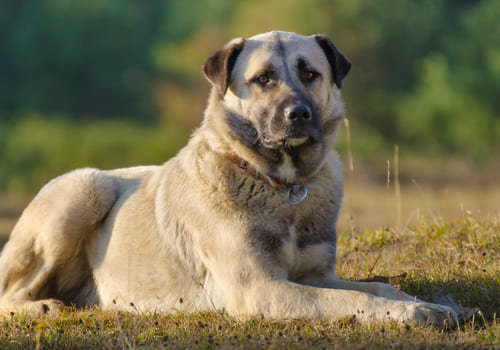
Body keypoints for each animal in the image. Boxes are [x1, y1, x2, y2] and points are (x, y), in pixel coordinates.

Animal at [0, 30, 460, 326]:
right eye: (264, 79)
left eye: (310, 73)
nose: (298, 114)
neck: (281, 185)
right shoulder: (261, 288)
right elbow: (348, 301)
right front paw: (411, 313)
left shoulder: (314, 275)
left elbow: (377, 288)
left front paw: (433, 305)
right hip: (84, 189)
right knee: (10, 292)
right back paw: (42, 308)